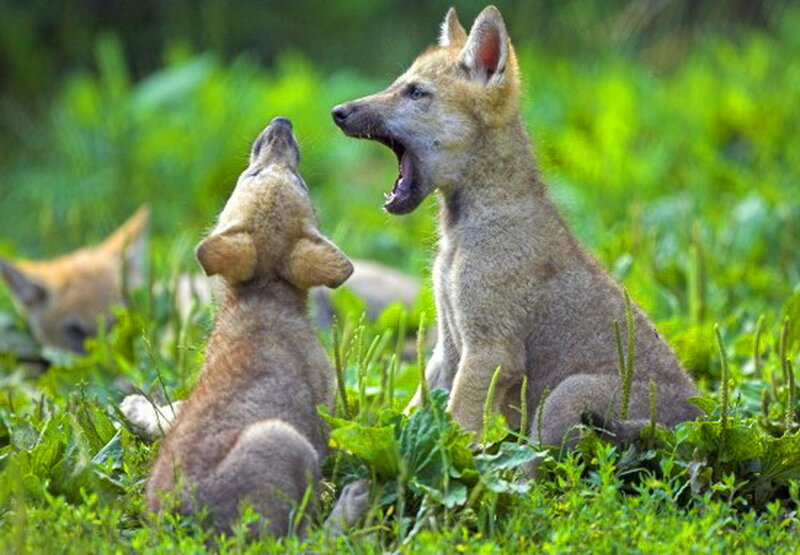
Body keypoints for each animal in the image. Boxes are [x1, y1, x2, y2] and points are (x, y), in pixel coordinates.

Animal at [145, 118, 367, 536]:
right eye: (253, 173)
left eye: (297, 180)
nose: (282, 123)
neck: (264, 294)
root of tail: (184, 523)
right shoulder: (326, 408)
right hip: (286, 446)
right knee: (307, 537)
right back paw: (353, 503)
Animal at [332, 6, 700, 454]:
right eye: (399, 84)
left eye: (416, 93)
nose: (338, 112)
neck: (461, 234)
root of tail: (698, 423)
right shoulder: (448, 349)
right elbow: (414, 412)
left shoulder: (490, 351)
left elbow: (457, 432)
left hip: (565, 397)